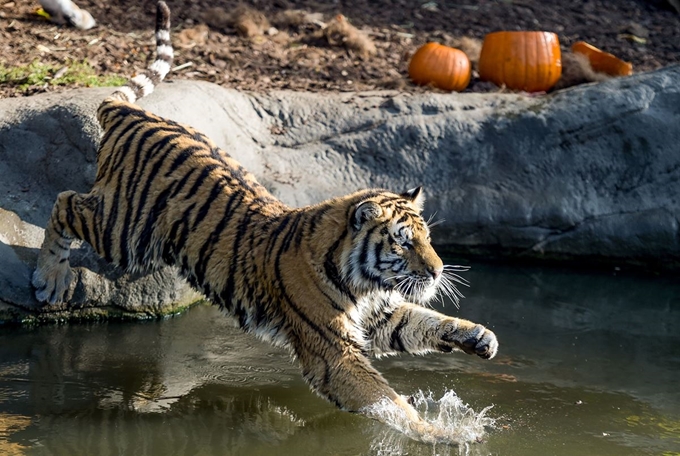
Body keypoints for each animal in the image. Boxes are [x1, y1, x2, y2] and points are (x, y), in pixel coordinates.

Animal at [31, 0, 500, 442]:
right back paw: (49, 278)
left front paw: (479, 337)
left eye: (426, 238)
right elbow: (384, 399)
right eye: (402, 243)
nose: (438, 271)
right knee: (65, 202)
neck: (362, 281)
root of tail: (132, 114)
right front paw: (440, 434)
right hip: (125, 233)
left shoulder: (380, 315)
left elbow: (424, 323)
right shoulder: (332, 349)